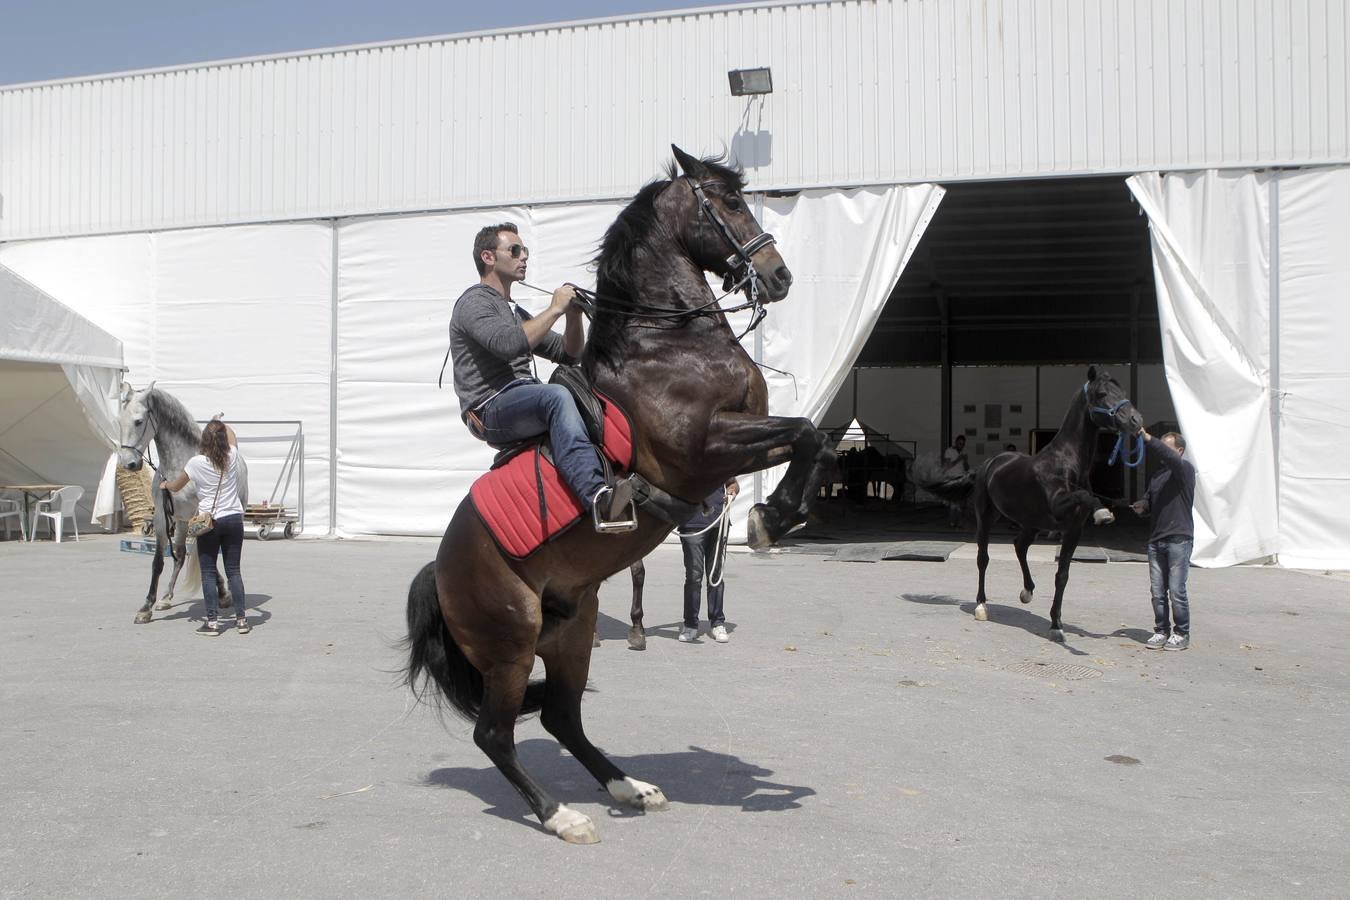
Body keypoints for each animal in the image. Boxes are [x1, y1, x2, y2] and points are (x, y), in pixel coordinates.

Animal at [402, 144, 831, 841]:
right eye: (728, 203)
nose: (778, 275)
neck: (666, 342)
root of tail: (438, 572)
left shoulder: (736, 443)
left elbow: (811, 437)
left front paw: (775, 513)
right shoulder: (703, 451)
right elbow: (807, 432)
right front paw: (772, 517)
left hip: (571, 632)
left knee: (561, 718)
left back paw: (630, 787)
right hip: (512, 642)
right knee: (495, 735)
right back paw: (561, 816)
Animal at [918, 369, 1139, 644]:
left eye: (1123, 392)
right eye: (1101, 394)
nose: (1136, 420)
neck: (1065, 463)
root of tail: (988, 464)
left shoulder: (1073, 530)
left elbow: (1062, 576)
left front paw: (1056, 625)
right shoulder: (1059, 507)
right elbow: (1086, 496)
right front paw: (1103, 512)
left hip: (1031, 523)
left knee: (1019, 546)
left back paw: (1027, 591)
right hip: (987, 517)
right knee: (983, 558)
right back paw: (981, 606)